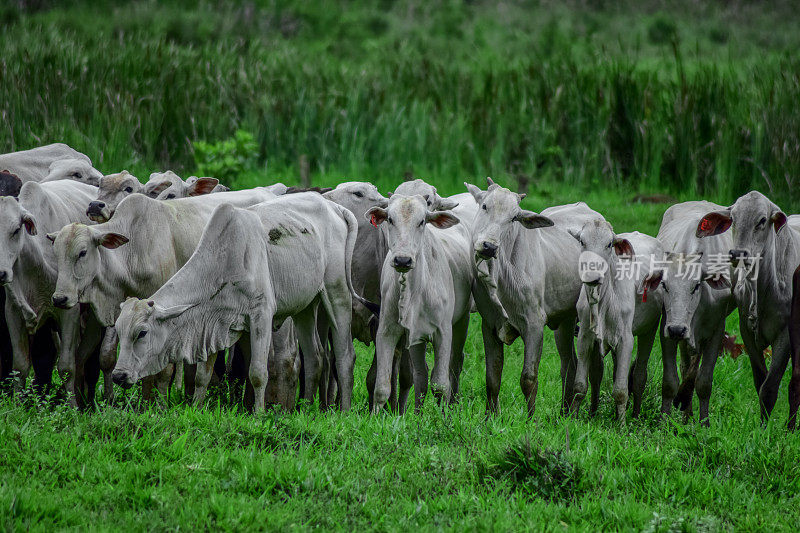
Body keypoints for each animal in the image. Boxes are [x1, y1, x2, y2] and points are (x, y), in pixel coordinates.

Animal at [368, 193, 476, 410]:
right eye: (390, 219)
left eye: (421, 221)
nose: (402, 260)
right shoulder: (386, 331)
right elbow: (382, 387)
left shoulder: (443, 332)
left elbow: (440, 385)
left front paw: (443, 416)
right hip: (416, 340)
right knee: (420, 377)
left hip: (462, 321)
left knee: (455, 365)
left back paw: (452, 406)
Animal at [568, 220, 664, 420]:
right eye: (582, 241)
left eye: (609, 244)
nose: (593, 275)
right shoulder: (585, 337)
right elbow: (580, 385)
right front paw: (573, 417)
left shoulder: (626, 340)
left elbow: (620, 390)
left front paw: (621, 424)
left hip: (650, 330)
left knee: (639, 375)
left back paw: (635, 415)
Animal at [692, 191, 800, 424]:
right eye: (733, 219)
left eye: (762, 220)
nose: (737, 253)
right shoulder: (747, 331)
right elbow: (760, 382)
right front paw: (762, 424)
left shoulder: (785, 335)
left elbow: (770, 387)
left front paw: (765, 427)